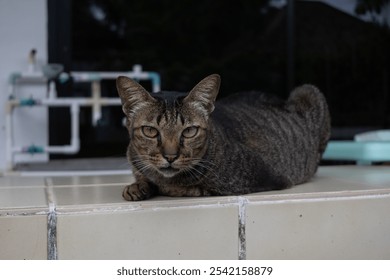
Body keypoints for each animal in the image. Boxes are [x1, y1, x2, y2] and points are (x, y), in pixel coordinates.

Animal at [116, 74, 330, 201]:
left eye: (189, 131)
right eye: (150, 131)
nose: (170, 156)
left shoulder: (266, 178)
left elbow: (180, 187)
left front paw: (152, 185)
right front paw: (137, 186)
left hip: (309, 91)